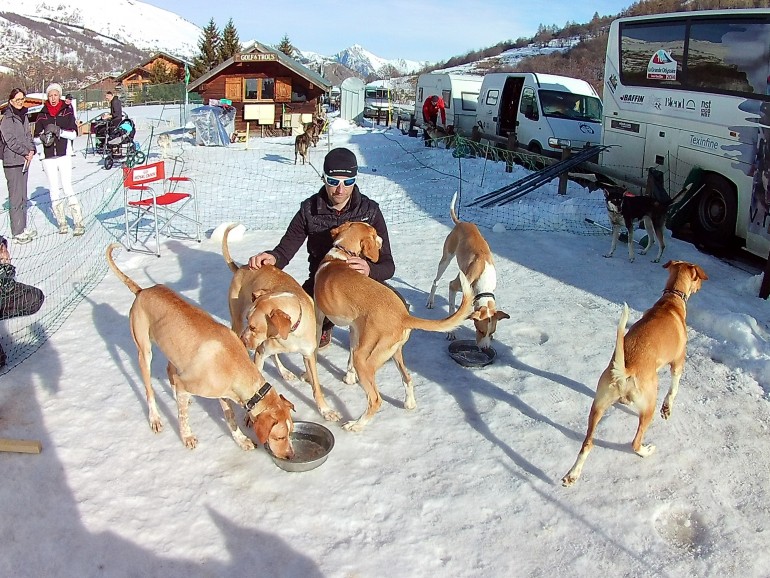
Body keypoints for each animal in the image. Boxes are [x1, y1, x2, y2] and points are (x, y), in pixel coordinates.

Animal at [108, 241, 296, 456]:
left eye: (291, 431)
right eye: (279, 437)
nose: (291, 455)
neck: (233, 361)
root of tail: (142, 291)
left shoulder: (222, 392)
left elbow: (230, 417)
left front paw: (241, 440)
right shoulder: (191, 385)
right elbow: (183, 418)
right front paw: (187, 437)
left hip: (173, 350)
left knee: (170, 371)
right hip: (144, 352)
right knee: (150, 391)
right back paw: (155, 418)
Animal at [222, 224, 342, 418]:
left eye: (254, 327)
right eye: (249, 322)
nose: (243, 341)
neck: (289, 335)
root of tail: (242, 268)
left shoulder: (308, 355)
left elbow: (316, 387)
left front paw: (326, 411)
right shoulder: (260, 351)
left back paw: (284, 372)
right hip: (237, 320)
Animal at [314, 220, 474, 428]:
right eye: (374, 234)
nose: (382, 238)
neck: (341, 256)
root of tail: (403, 315)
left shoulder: (319, 314)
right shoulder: (355, 329)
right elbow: (349, 354)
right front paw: (349, 377)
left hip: (364, 358)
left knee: (375, 400)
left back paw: (356, 425)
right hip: (393, 352)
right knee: (408, 378)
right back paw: (409, 403)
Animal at [424, 192, 508, 346]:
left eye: (491, 333)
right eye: (480, 330)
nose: (485, 349)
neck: (484, 281)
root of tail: (462, 223)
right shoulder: (454, 285)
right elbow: (452, 310)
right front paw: (451, 333)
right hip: (447, 256)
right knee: (436, 280)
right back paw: (430, 301)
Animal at [560, 258, 708, 484]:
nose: (700, 286)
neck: (671, 299)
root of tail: (625, 370)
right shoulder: (678, 362)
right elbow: (673, 389)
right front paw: (667, 409)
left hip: (598, 405)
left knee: (587, 444)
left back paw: (572, 475)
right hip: (648, 406)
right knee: (635, 442)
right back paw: (647, 450)